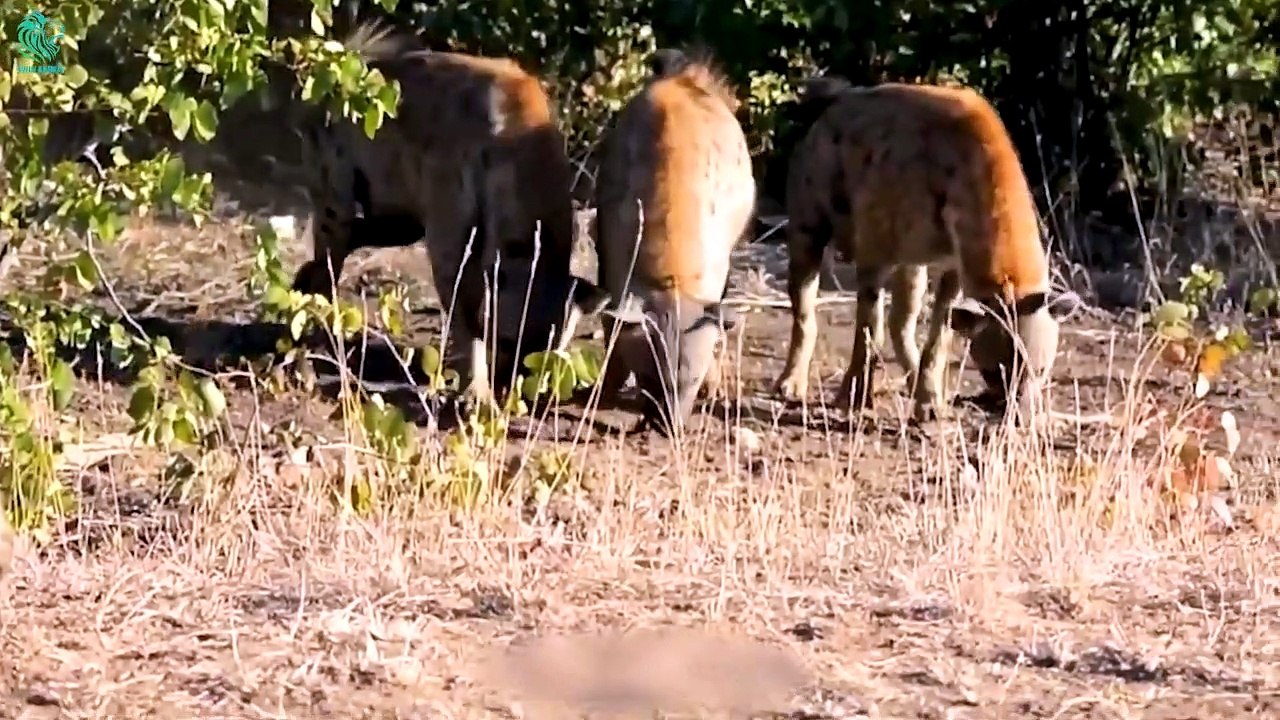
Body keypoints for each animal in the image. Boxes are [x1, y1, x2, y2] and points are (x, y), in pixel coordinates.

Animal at [291, 20, 609, 404]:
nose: (513, 387)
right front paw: (477, 394)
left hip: (396, 219)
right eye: (507, 341)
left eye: (549, 350)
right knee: (330, 257)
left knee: (341, 246)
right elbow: (461, 302)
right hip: (336, 195)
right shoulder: (448, 218)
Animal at [592, 48, 755, 436]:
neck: (671, 278)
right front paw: (603, 391)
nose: (669, 429)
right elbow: (610, 325)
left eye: (690, 380)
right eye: (649, 377)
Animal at [772, 77, 1082, 423]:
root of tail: (835, 103)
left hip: (912, 261)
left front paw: (931, 402)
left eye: (1041, 370)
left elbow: (940, 332)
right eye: (992, 374)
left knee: (902, 319)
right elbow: (869, 326)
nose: (1021, 417)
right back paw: (790, 385)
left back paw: (917, 386)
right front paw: (853, 398)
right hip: (809, 215)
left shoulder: (953, 263)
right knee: (804, 302)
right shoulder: (874, 246)